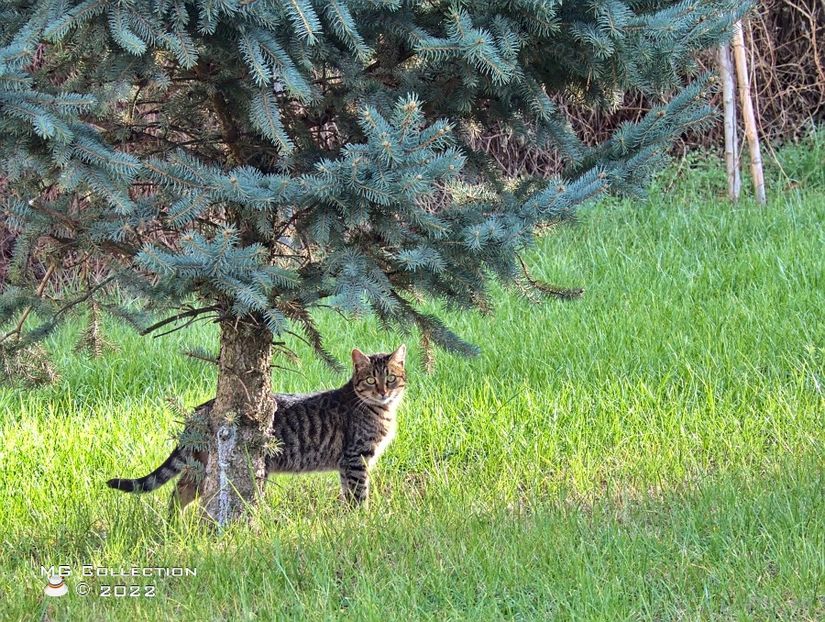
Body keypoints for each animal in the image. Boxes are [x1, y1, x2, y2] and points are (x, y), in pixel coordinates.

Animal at [108, 346, 408, 512]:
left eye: (391, 379)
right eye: (370, 380)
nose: (383, 392)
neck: (380, 410)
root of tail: (202, 408)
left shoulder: (348, 464)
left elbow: (348, 493)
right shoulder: (355, 458)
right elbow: (359, 494)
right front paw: (361, 520)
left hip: (199, 464)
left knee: (180, 490)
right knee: (182, 491)